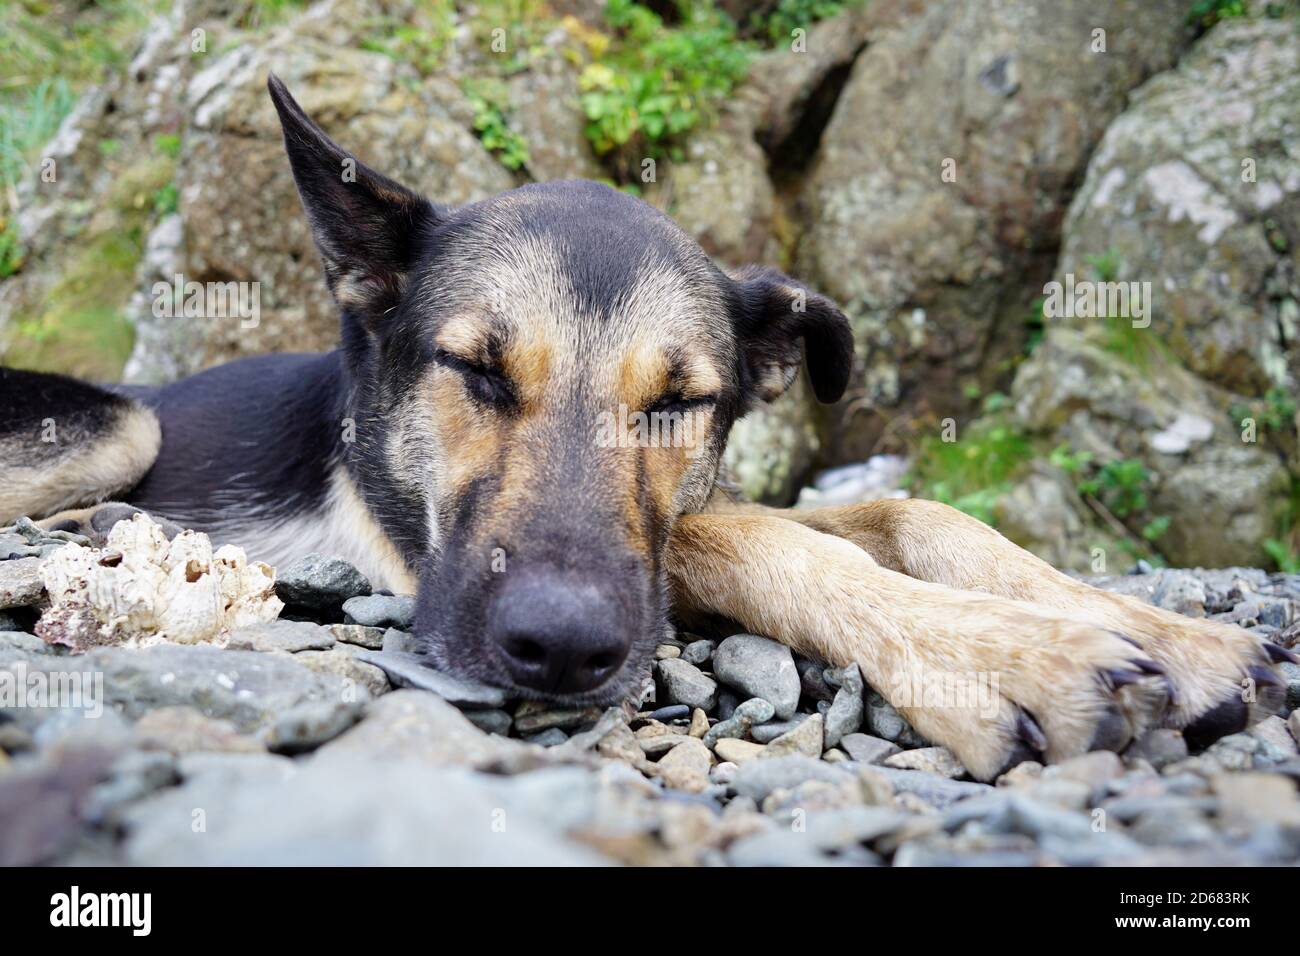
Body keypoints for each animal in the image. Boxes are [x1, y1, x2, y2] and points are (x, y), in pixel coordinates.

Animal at [0, 74, 1284, 780]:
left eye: (676, 402)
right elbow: (770, 540)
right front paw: (1004, 652)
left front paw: (1161, 630)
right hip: (121, 425)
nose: (560, 649)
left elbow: (916, 510)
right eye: (475, 369)